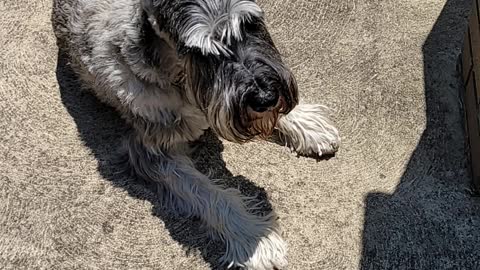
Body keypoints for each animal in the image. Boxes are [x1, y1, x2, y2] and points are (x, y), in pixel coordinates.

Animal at [52, 0, 342, 268]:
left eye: (250, 25)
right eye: (199, 52)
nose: (265, 98)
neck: (179, 74)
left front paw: (307, 124)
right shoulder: (153, 152)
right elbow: (210, 194)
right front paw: (254, 239)